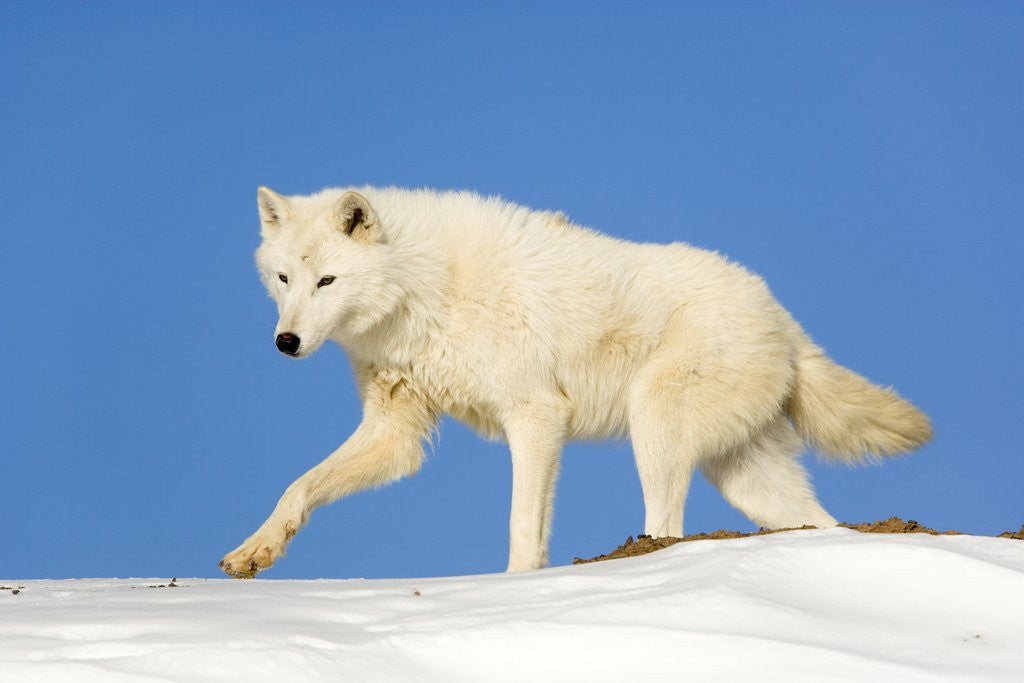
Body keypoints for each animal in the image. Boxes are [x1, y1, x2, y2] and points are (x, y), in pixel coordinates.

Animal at [219, 186, 932, 577]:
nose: (286, 342)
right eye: (284, 279)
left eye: (327, 281)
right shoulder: (396, 432)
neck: (423, 289)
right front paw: (256, 551)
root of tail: (784, 318)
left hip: (654, 424)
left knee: (666, 525)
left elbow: (521, 528)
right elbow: (299, 486)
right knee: (821, 524)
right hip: (750, 481)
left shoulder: (536, 415)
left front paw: (512, 587)